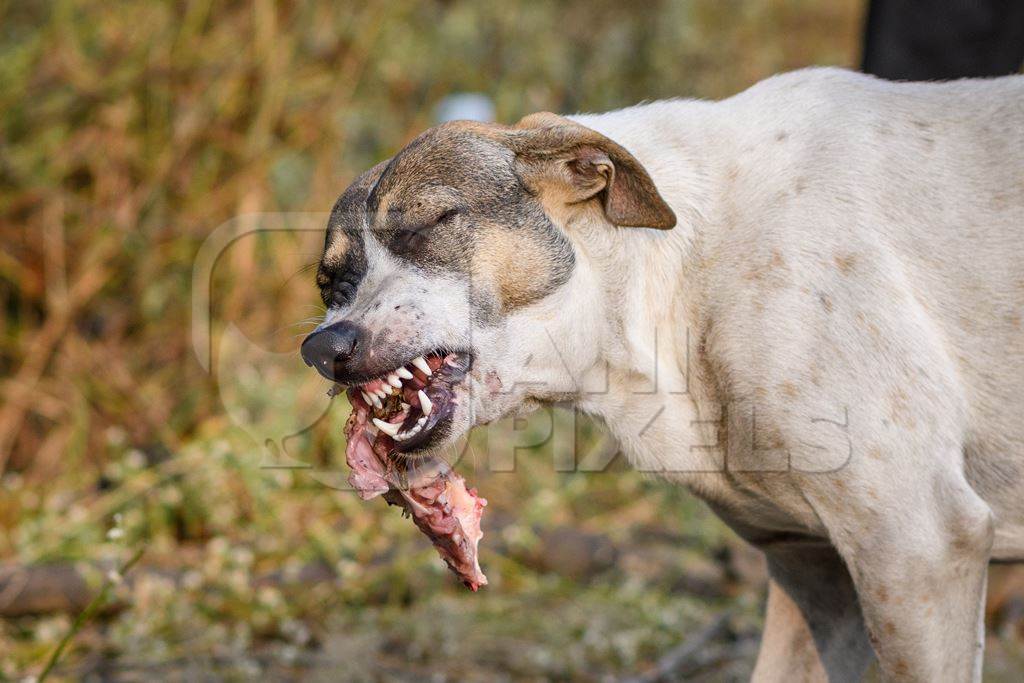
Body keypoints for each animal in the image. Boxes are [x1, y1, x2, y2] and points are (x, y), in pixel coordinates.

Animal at [299, 66, 1019, 679]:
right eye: (330, 284)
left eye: (425, 224)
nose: (323, 346)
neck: (676, 271)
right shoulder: (815, 569)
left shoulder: (917, 545)